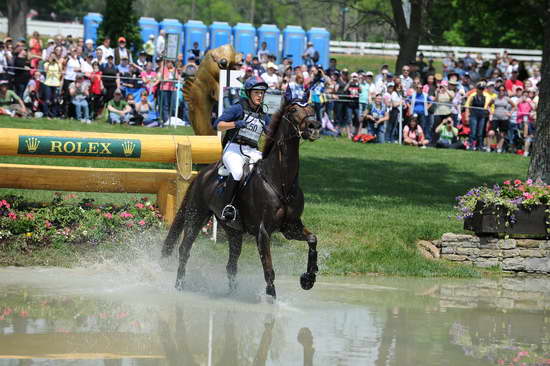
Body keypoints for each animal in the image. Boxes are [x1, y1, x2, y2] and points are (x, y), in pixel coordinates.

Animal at [160, 91, 324, 298]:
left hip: (233, 230)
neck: (281, 182)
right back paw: (180, 285)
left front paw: (308, 279)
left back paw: (233, 294)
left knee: (231, 264)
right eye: (294, 109)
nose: (314, 127)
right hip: (196, 216)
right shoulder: (263, 232)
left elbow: (312, 239)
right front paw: (271, 298)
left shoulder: (290, 227)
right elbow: (268, 270)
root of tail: (201, 175)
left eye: (311, 108)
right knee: (184, 249)